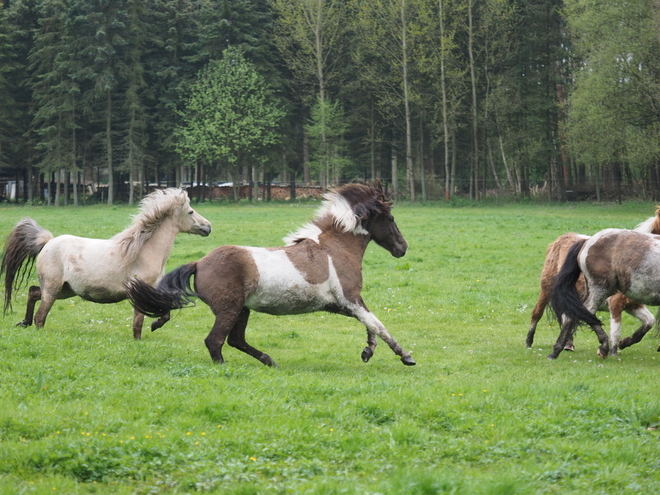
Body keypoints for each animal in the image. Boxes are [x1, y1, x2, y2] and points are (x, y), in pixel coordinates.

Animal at [0, 188, 211, 340]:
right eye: (191, 211)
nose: (208, 227)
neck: (142, 251)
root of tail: (48, 242)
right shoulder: (141, 291)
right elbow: (139, 321)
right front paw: (144, 335)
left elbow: (164, 310)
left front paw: (154, 325)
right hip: (53, 289)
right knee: (40, 316)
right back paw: (35, 328)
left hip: (65, 290)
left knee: (33, 292)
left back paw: (24, 322)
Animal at [124, 182, 416, 368]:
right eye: (391, 219)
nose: (402, 248)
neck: (335, 249)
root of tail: (199, 262)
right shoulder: (350, 298)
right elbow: (378, 324)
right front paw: (406, 356)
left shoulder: (341, 304)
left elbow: (370, 325)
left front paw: (367, 351)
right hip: (230, 309)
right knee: (215, 341)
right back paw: (226, 368)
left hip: (242, 310)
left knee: (236, 340)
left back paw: (269, 361)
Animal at [528, 211, 660, 354]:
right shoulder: (616, 304)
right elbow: (615, 331)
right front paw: (614, 352)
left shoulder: (634, 305)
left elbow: (649, 321)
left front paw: (625, 342)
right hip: (556, 289)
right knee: (541, 313)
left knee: (574, 315)